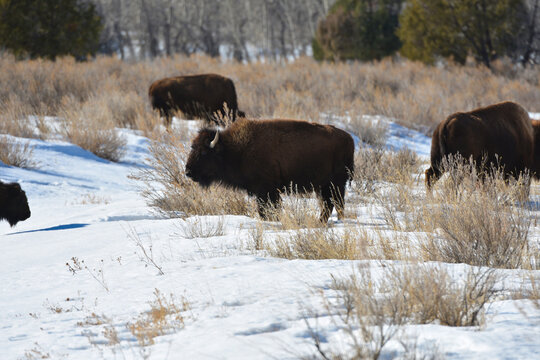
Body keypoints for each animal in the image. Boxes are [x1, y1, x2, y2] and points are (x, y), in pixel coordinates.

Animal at [185, 118, 354, 222]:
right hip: (323, 186)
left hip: (336, 184)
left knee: (336, 204)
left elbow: (267, 209)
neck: (235, 149)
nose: (188, 172)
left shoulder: (266, 190)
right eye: (192, 147)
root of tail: (349, 138)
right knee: (328, 205)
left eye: (204, 153)